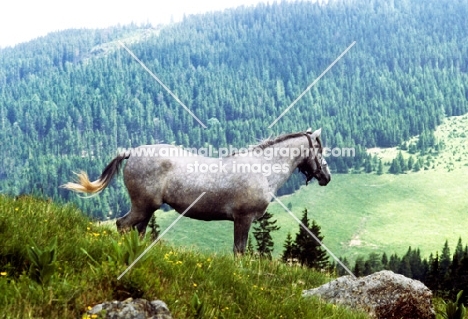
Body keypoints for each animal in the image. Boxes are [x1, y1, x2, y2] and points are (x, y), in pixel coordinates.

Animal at [62, 127, 330, 255]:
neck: (262, 169)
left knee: (138, 231)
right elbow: (240, 252)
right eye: (320, 149)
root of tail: (131, 153)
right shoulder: (243, 219)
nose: (326, 176)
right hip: (142, 206)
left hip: (147, 210)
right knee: (122, 224)